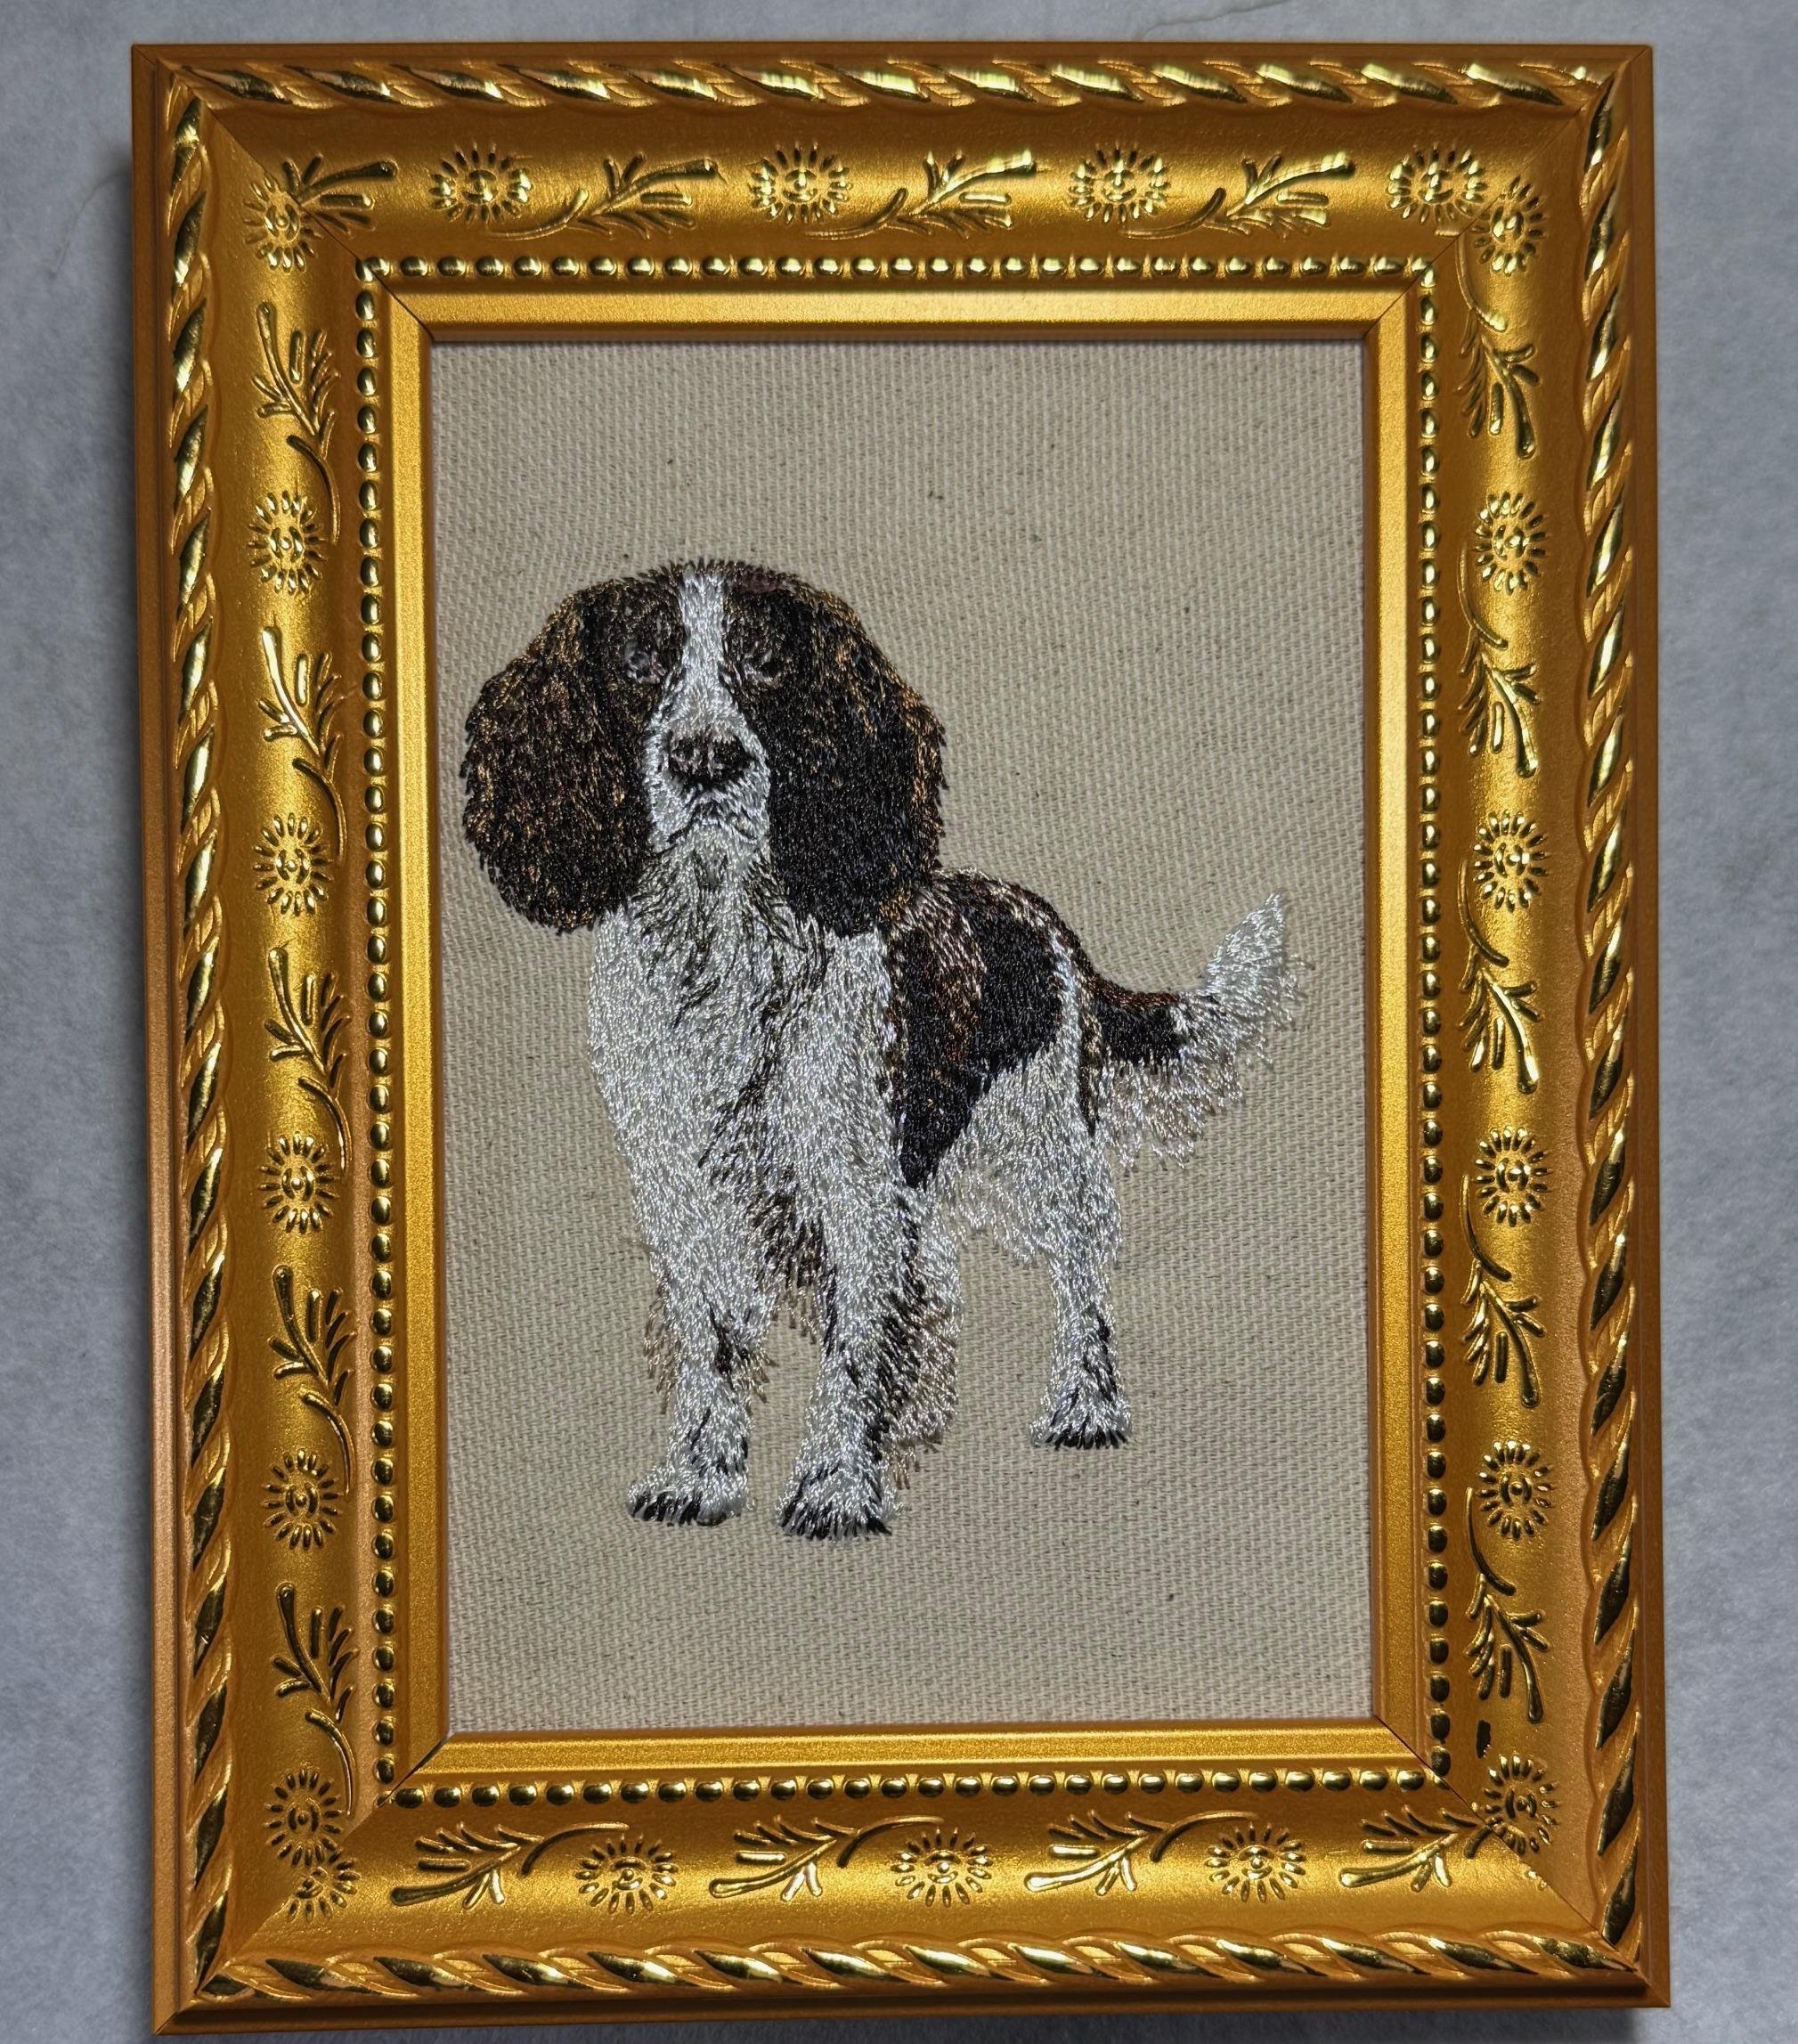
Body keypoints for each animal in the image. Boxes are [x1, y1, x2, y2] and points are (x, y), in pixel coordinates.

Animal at [462, 561, 1298, 1539]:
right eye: (641, 662)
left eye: (766, 661)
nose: (705, 761)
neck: (722, 950)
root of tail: (1041, 920)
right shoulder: (681, 1193)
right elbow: (710, 1342)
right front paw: (700, 1475)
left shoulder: (853, 1189)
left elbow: (852, 1345)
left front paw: (834, 1484)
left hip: (1045, 1148)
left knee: (1082, 1272)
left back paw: (1085, 1403)